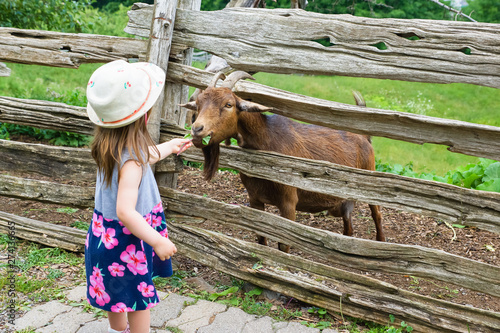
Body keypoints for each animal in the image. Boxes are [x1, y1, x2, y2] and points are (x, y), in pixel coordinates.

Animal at [182, 71, 384, 250]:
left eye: (228, 104)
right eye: (198, 104)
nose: (197, 130)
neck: (267, 139)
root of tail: (364, 137)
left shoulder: (288, 202)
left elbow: (283, 244)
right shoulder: (254, 198)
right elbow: (260, 238)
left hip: (371, 178)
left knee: (377, 213)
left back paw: (381, 242)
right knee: (348, 224)